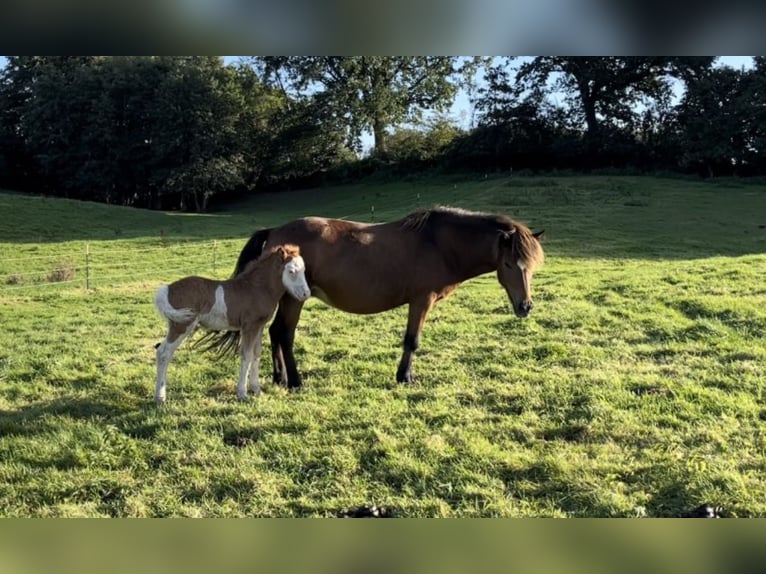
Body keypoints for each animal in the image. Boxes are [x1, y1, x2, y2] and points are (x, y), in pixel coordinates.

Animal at [154, 244, 310, 404]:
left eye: (304, 270)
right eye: (291, 271)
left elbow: (256, 354)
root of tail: (167, 289)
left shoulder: (259, 326)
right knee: (163, 353)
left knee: (163, 351)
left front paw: (256, 389)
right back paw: (160, 397)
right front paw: (242, 393)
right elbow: (246, 355)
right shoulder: (249, 327)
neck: (256, 288)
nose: (306, 294)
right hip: (182, 325)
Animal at [201, 207, 544, 392]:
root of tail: (275, 231)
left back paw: (279, 377)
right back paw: (295, 381)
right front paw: (405, 377)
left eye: (531, 265)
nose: (525, 306)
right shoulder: (421, 300)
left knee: (274, 333)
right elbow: (412, 341)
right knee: (284, 334)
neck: (438, 244)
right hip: (294, 298)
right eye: (509, 264)